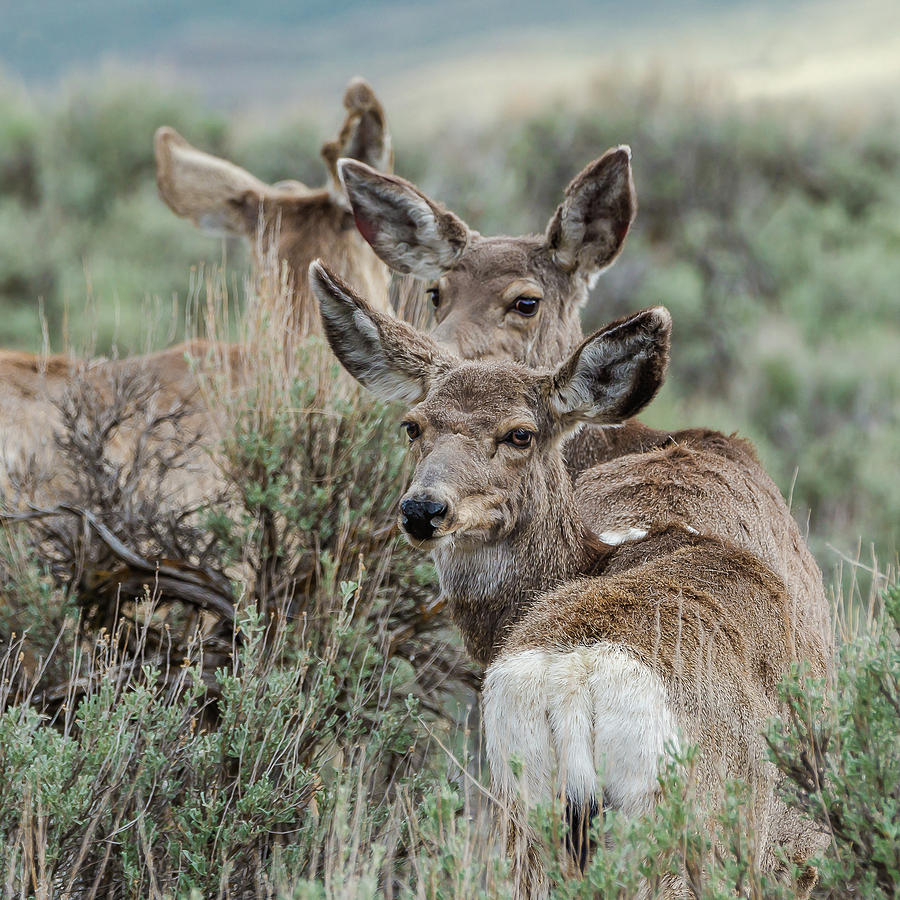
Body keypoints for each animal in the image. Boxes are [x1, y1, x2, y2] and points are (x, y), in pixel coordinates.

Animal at [312, 260, 828, 900]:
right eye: (413, 426)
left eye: (520, 433)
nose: (424, 509)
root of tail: (573, 685)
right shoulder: (791, 846)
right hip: (692, 828)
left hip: (526, 817)